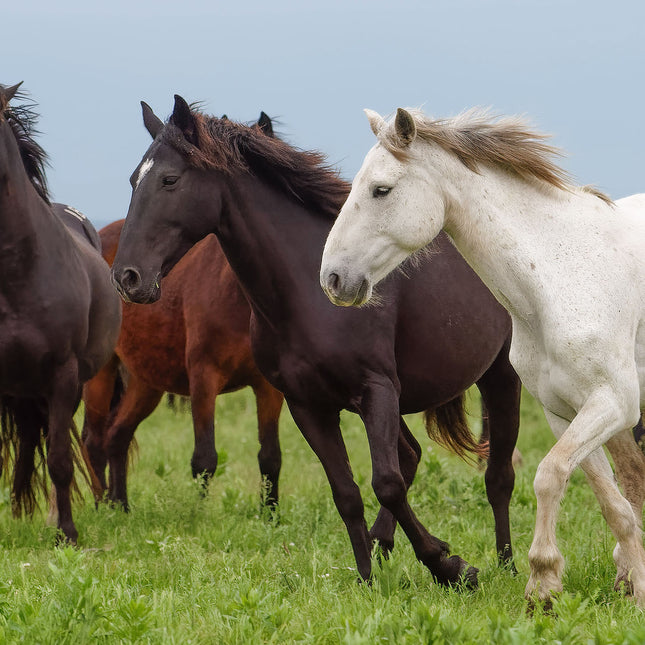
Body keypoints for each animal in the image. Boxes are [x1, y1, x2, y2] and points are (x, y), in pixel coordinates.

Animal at [82, 218, 284, 512]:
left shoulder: (269, 388)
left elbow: (270, 457)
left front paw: (270, 515)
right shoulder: (203, 378)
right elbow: (204, 459)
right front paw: (200, 514)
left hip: (145, 384)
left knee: (117, 436)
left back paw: (122, 507)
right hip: (102, 374)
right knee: (93, 443)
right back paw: (102, 509)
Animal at [109, 97, 524, 588]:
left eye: (170, 180)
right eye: (133, 180)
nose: (127, 277)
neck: (309, 291)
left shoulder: (376, 390)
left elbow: (386, 482)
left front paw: (449, 566)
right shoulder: (308, 404)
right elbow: (347, 492)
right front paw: (367, 578)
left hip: (501, 377)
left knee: (497, 477)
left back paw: (507, 565)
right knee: (413, 456)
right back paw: (385, 546)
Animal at [318, 107, 645, 608]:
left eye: (381, 190)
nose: (332, 279)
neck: (562, 276)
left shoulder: (612, 404)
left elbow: (549, 474)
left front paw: (543, 580)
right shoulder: (565, 413)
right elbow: (613, 502)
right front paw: (619, 585)